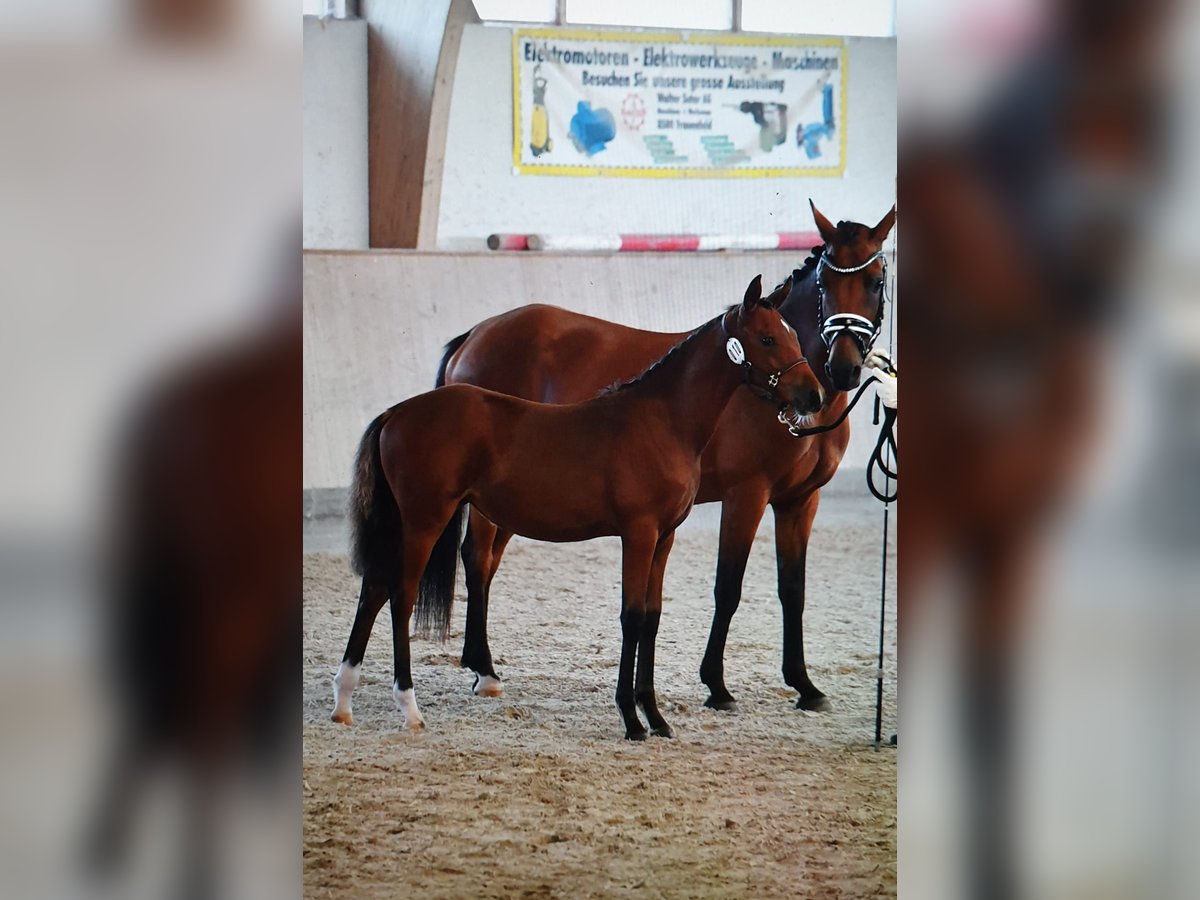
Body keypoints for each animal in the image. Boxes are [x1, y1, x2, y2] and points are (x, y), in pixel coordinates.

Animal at [328, 278, 820, 744]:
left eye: (794, 334)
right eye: (767, 338)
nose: (813, 396)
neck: (663, 422)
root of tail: (395, 413)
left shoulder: (664, 538)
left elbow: (653, 618)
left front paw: (656, 717)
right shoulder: (638, 533)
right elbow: (632, 617)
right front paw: (632, 720)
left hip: (406, 524)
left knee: (374, 591)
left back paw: (344, 702)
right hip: (424, 522)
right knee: (401, 595)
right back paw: (410, 707)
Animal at [441, 202, 892, 710]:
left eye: (876, 280)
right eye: (825, 283)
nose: (843, 367)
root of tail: (475, 334)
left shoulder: (800, 501)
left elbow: (792, 589)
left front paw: (804, 684)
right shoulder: (746, 495)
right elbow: (728, 588)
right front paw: (716, 685)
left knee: (487, 561)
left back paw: (477, 662)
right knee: (478, 558)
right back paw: (484, 670)